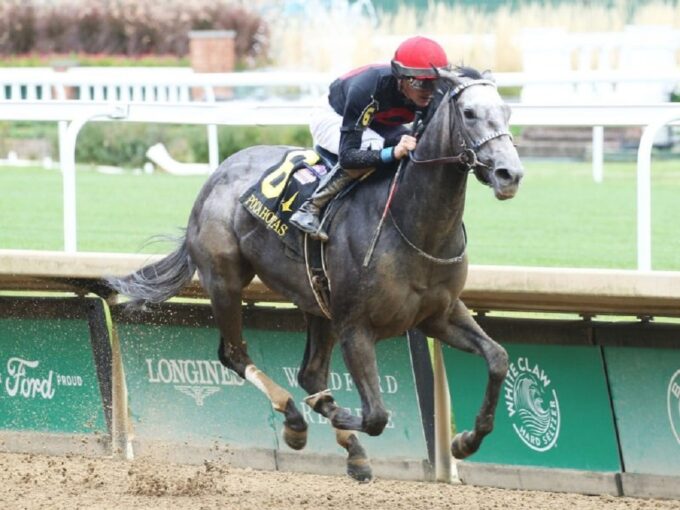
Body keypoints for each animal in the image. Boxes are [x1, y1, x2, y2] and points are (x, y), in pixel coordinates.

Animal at [106, 68, 524, 482]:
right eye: (469, 113)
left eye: (507, 111)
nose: (510, 174)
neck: (411, 222)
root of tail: (218, 173)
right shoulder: (356, 327)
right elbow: (375, 416)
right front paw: (337, 415)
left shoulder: (439, 314)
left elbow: (498, 358)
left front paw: (465, 441)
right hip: (225, 281)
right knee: (236, 355)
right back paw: (295, 420)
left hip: (317, 303)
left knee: (310, 374)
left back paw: (351, 451)